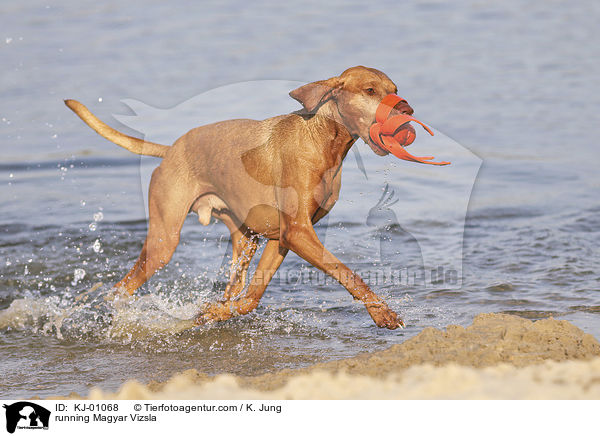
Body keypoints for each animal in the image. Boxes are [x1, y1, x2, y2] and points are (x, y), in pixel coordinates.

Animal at [65, 65, 418, 328]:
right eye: (370, 91)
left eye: (395, 89)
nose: (407, 109)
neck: (323, 142)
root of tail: (171, 150)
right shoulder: (299, 232)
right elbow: (349, 273)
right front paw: (384, 314)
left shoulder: (283, 237)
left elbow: (250, 298)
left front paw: (213, 313)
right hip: (163, 242)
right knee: (120, 288)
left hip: (244, 239)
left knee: (231, 285)